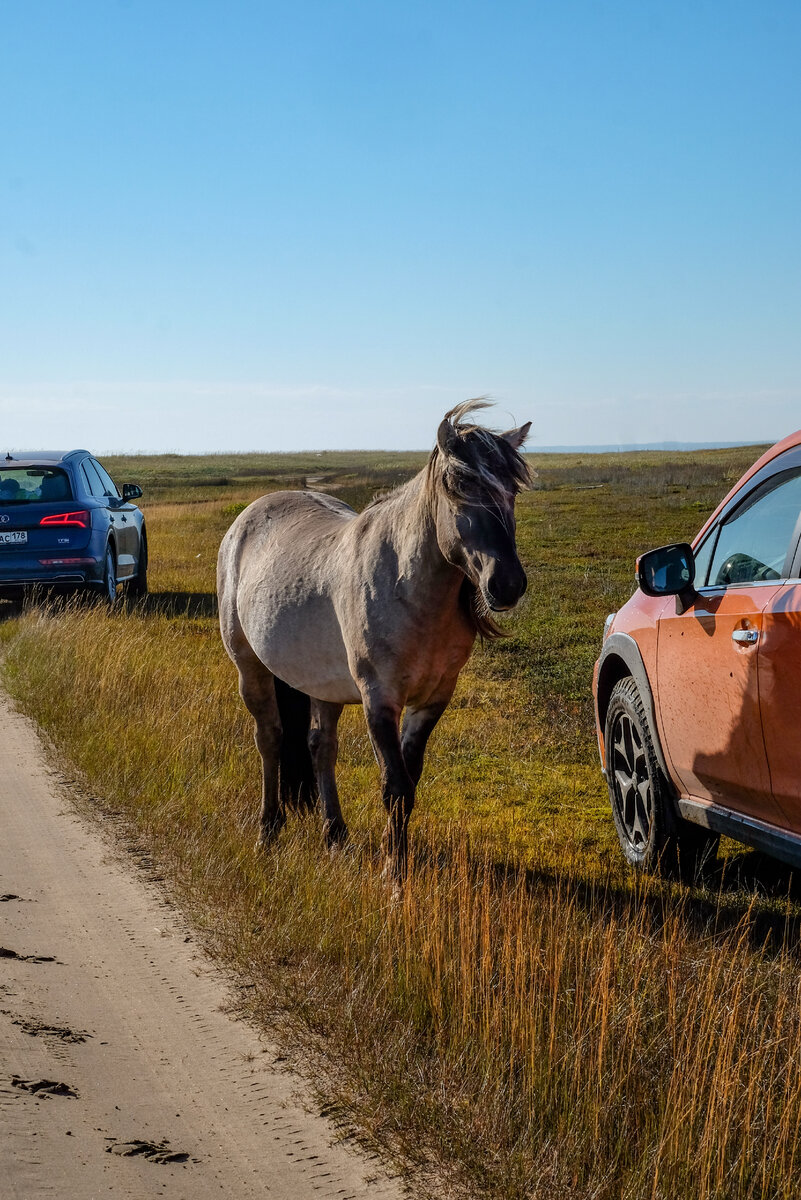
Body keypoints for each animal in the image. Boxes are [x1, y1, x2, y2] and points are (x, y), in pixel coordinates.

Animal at [219, 403, 532, 883]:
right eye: (462, 485)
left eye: (512, 488)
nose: (508, 584)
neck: (410, 588)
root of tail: (247, 518)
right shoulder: (379, 698)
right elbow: (395, 786)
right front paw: (394, 875)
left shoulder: (433, 700)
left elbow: (409, 780)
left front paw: (391, 855)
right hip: (249, 666)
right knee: (270, 738)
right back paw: (268, 831)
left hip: (321, 682)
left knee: (320, 747)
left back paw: (335, 836)